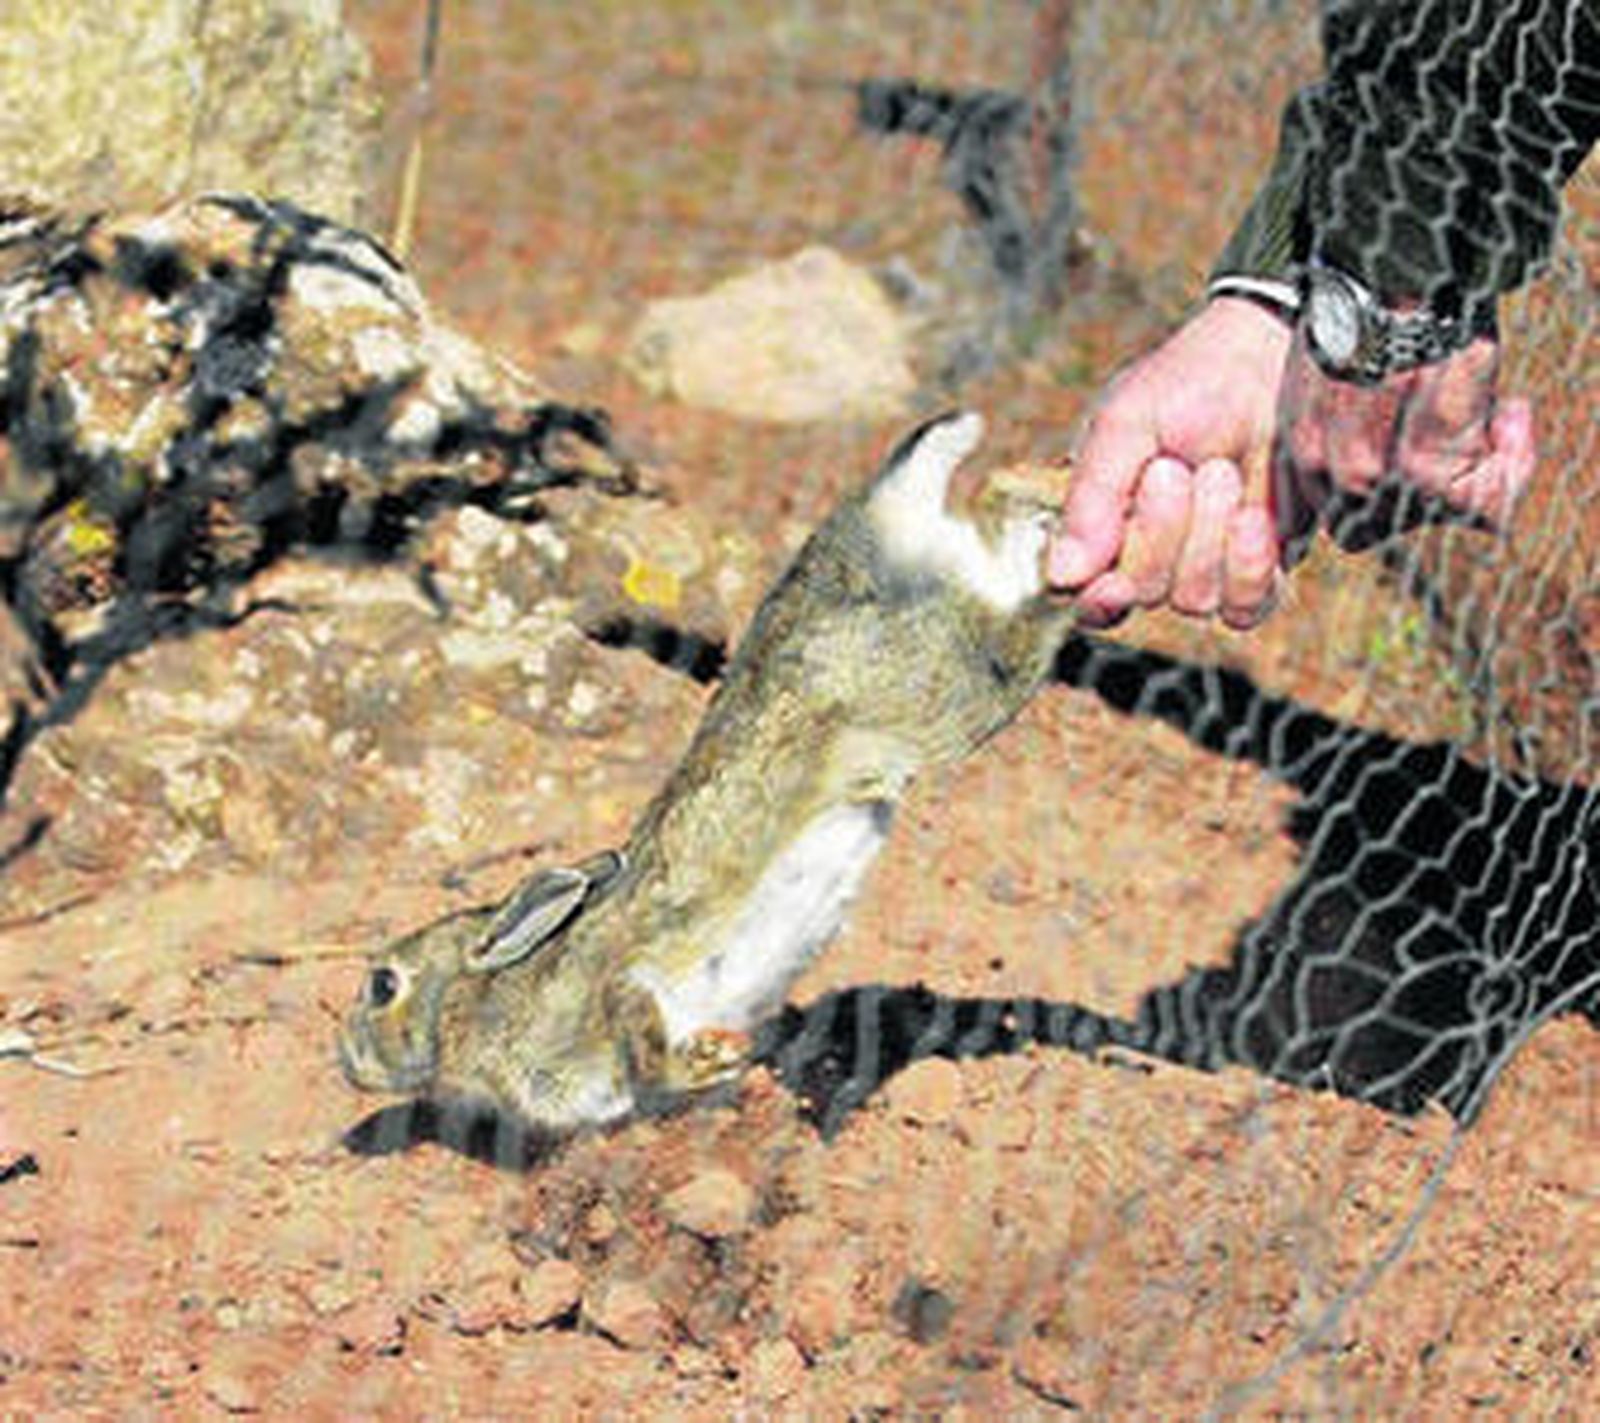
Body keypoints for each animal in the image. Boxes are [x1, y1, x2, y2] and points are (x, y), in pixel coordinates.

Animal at [338, 410, 1076, 1136]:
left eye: (383, 985)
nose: (343, 1060)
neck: (475, 994)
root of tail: (879, 517)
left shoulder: (608, 992)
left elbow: (637, 1023)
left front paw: (705, 1063)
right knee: (999, 511)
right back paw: (1050, 482)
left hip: (953, 689)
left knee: (1028, 622)